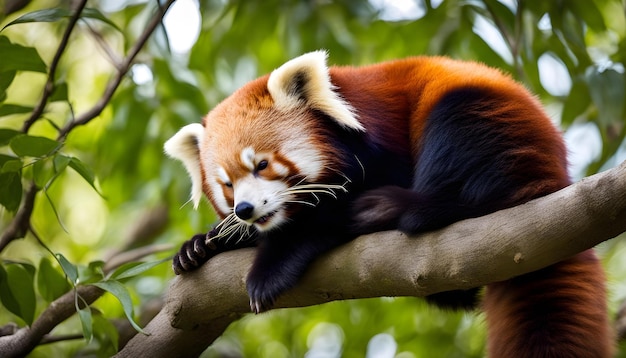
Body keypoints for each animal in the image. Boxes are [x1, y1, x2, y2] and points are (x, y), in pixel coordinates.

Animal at [163, 51, 612, 358]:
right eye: (227, 185)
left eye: (261, 164)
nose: (245, 210)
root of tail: (557, 177)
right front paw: (205, 244)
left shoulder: (382, 139)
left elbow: (324, 218)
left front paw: (273, 262)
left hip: (483, 117)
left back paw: (397, 209)